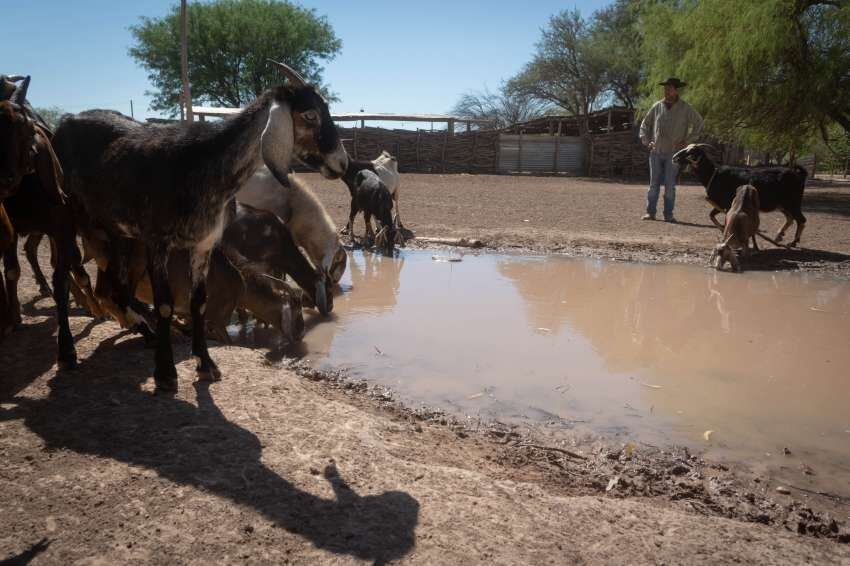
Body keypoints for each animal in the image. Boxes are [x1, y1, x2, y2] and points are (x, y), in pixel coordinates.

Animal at [53, 60, 346, 392]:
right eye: (309, 114)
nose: (343, 163)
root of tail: (66, 120)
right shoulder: (158, 241)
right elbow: (166, 304)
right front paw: (166, 373)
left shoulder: (203, 244)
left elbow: (199, 302)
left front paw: (206, 365)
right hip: (65, 215)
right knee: (62, 281)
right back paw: (68, 352)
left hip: (115, 232)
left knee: (113, 286)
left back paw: (142, 328)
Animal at [672, 144, 804, 246]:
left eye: (691, 152)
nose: (674, 158)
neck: (714, 174)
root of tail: (798, 175)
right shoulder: (721, 206)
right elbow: (711, 216)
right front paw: (722, 229)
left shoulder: (725, 204)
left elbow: (714, 217)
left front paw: (723, 230)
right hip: (782, 205)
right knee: (790, 218)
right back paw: (779, 236)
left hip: (792, 203)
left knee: (801, 220)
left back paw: (793, 242)